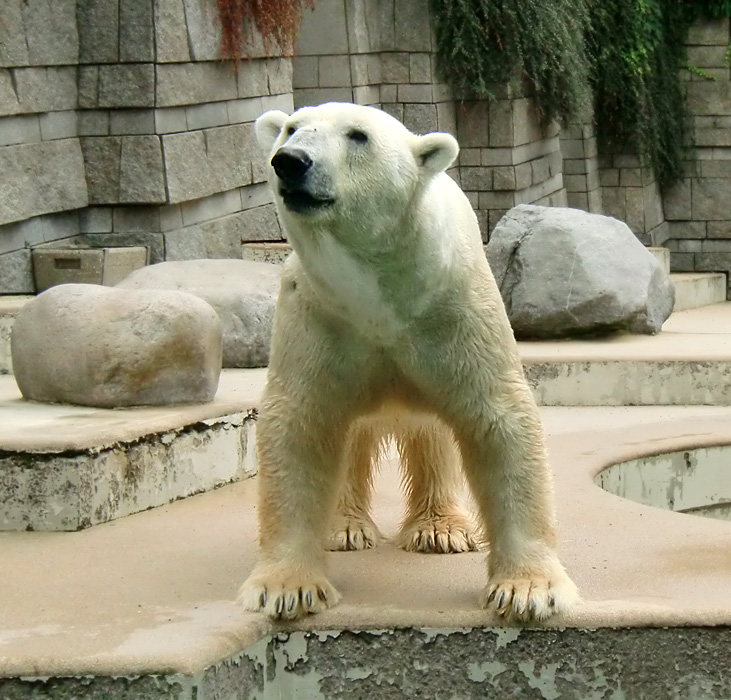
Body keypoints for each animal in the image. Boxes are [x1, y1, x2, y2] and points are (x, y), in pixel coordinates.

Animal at [237, 101, 580, 620]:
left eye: (358, 136)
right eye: (291, 129)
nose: (291, 162)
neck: (380, 295)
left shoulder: (454, 310)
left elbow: (498, 418)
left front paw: (528, 590)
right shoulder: (318, 314)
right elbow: (301, 422)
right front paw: (285, 588)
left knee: (434, 434)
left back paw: (440, 529)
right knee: (348, 435)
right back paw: (344, 526)